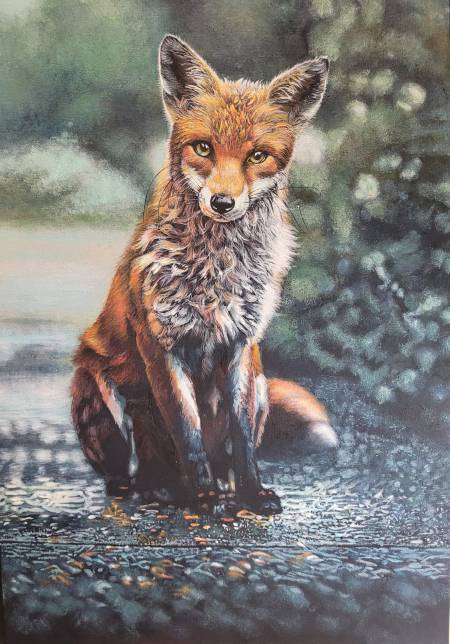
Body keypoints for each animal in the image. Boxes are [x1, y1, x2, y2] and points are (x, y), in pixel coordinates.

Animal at [71, 35, 337, 515]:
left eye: (257, 156)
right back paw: (157, 489)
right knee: (126, 474)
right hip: (97, 389)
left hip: (263, 384)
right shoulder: (163, 346)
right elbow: (188, 432)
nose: (222, 203)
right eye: (203, 148)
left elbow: (242, 438)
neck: (216, 271)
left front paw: (249, 493)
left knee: (228, 450)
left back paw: (220, 487)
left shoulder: (241, 345)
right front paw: (204, 497)